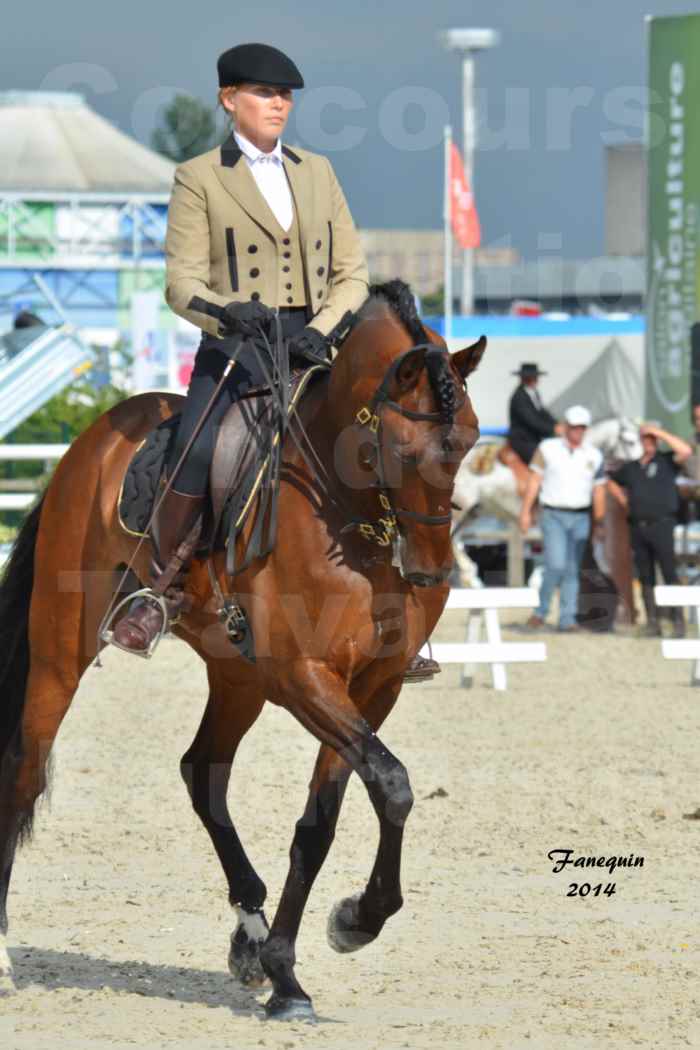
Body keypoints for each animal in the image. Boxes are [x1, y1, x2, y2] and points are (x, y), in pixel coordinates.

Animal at [0, 285, 486, 1016]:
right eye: (399, 448)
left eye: (473, 438)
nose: (432, 572)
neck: (347, 517)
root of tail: (94, 440)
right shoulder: (306, 679)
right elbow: (392, 784)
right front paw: (351, 923)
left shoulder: (373, 687)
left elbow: (329, 819)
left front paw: (296, 965)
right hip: (61, 654)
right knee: (23, 776)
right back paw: (3, 956)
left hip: (237, 677)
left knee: (202, 772)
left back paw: (250, 937)